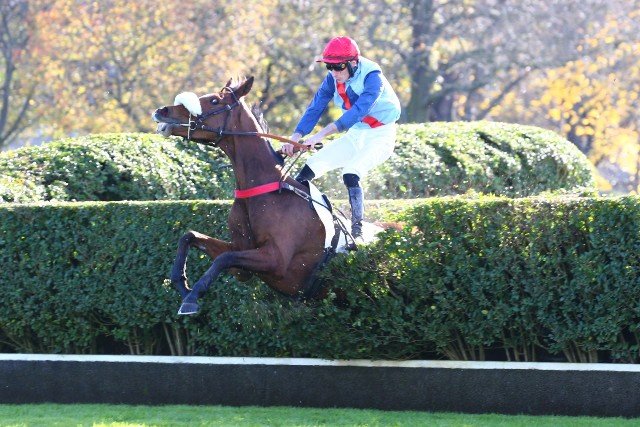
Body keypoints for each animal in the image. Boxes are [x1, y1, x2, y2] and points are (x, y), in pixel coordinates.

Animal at [153, 76, 341, 315]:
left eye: (214, 100)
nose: (162, 110)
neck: (265, 188)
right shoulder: (243, 262)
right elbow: (190, 237)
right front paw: (182, 284)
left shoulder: (277, 260)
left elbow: (224, 257)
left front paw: (192, 297)